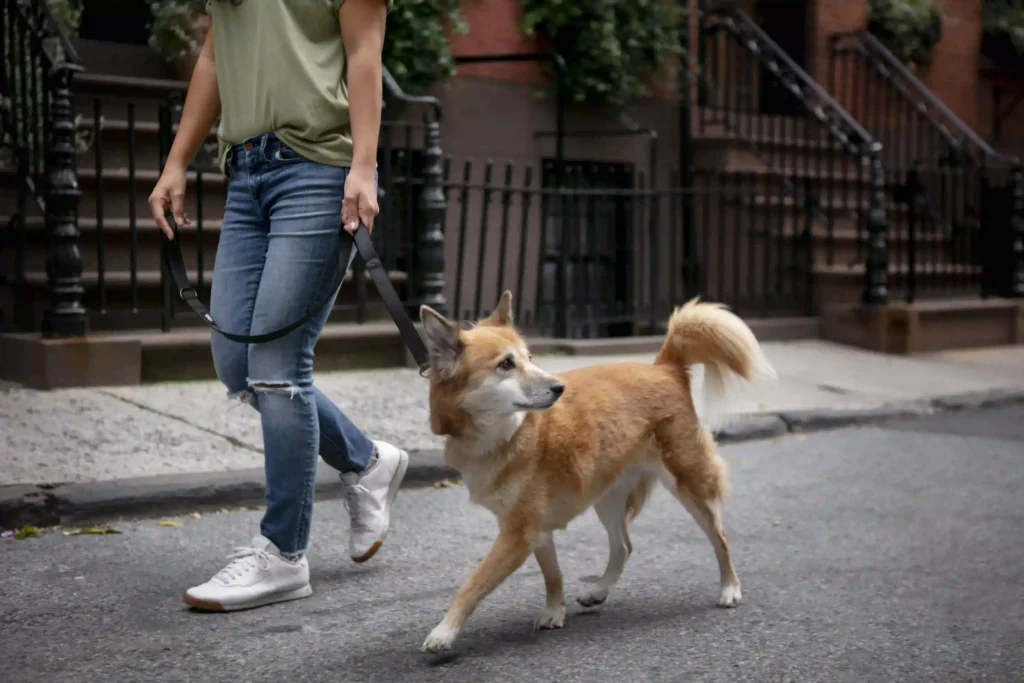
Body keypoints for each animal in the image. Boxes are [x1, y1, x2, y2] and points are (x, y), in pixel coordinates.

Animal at [419, 290, 770, 655]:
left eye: (529, 357)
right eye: (505, 364)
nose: (559, 388)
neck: (505, 434)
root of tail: (664, 368)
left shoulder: (517, 535)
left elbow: (472, 584)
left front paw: (445, 631)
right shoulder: (534, 531)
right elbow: (553, 575)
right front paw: (555, 611)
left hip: (688, 482)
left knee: (719, 537)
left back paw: (729, 587)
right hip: (608, 497)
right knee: (623, 547)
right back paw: (599, 590)